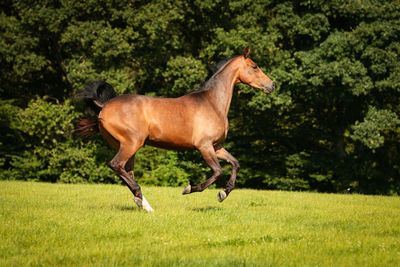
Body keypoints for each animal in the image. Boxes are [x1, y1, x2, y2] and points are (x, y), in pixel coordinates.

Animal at [76, 47, 276, 211]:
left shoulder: (216, 146)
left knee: (126, 172)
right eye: (255, 67)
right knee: (116, 165)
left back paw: (143, 204)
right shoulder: (204, 146)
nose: (272, 85)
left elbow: (235, 163)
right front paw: (189, 189)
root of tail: (104, 106)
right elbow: (218, 171)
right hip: (131, 144)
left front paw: (223, 194)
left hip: (127, 146)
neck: (212, 103)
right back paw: (144, 202)